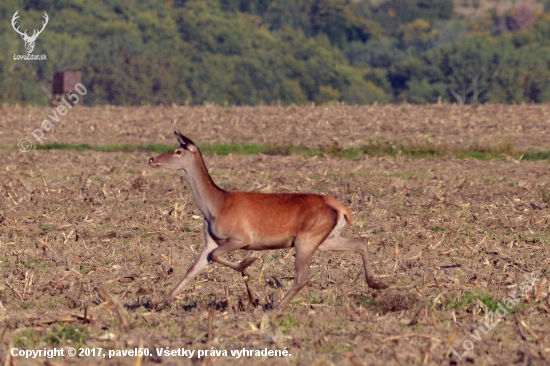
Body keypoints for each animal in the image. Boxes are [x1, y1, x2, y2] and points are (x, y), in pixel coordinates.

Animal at [149, 131, 390, 308]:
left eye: (178, 150)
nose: (151, 159)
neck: (213, 207)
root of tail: (342, 208)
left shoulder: (241, 237)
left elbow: (216, 256)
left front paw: (247, 266)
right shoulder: (210, 240)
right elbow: (192, 269)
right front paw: (160, 304)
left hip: (306, 238)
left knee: (303, 276)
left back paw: (276, 307)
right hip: (325, 238)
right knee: (361, 241)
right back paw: (377, 283)